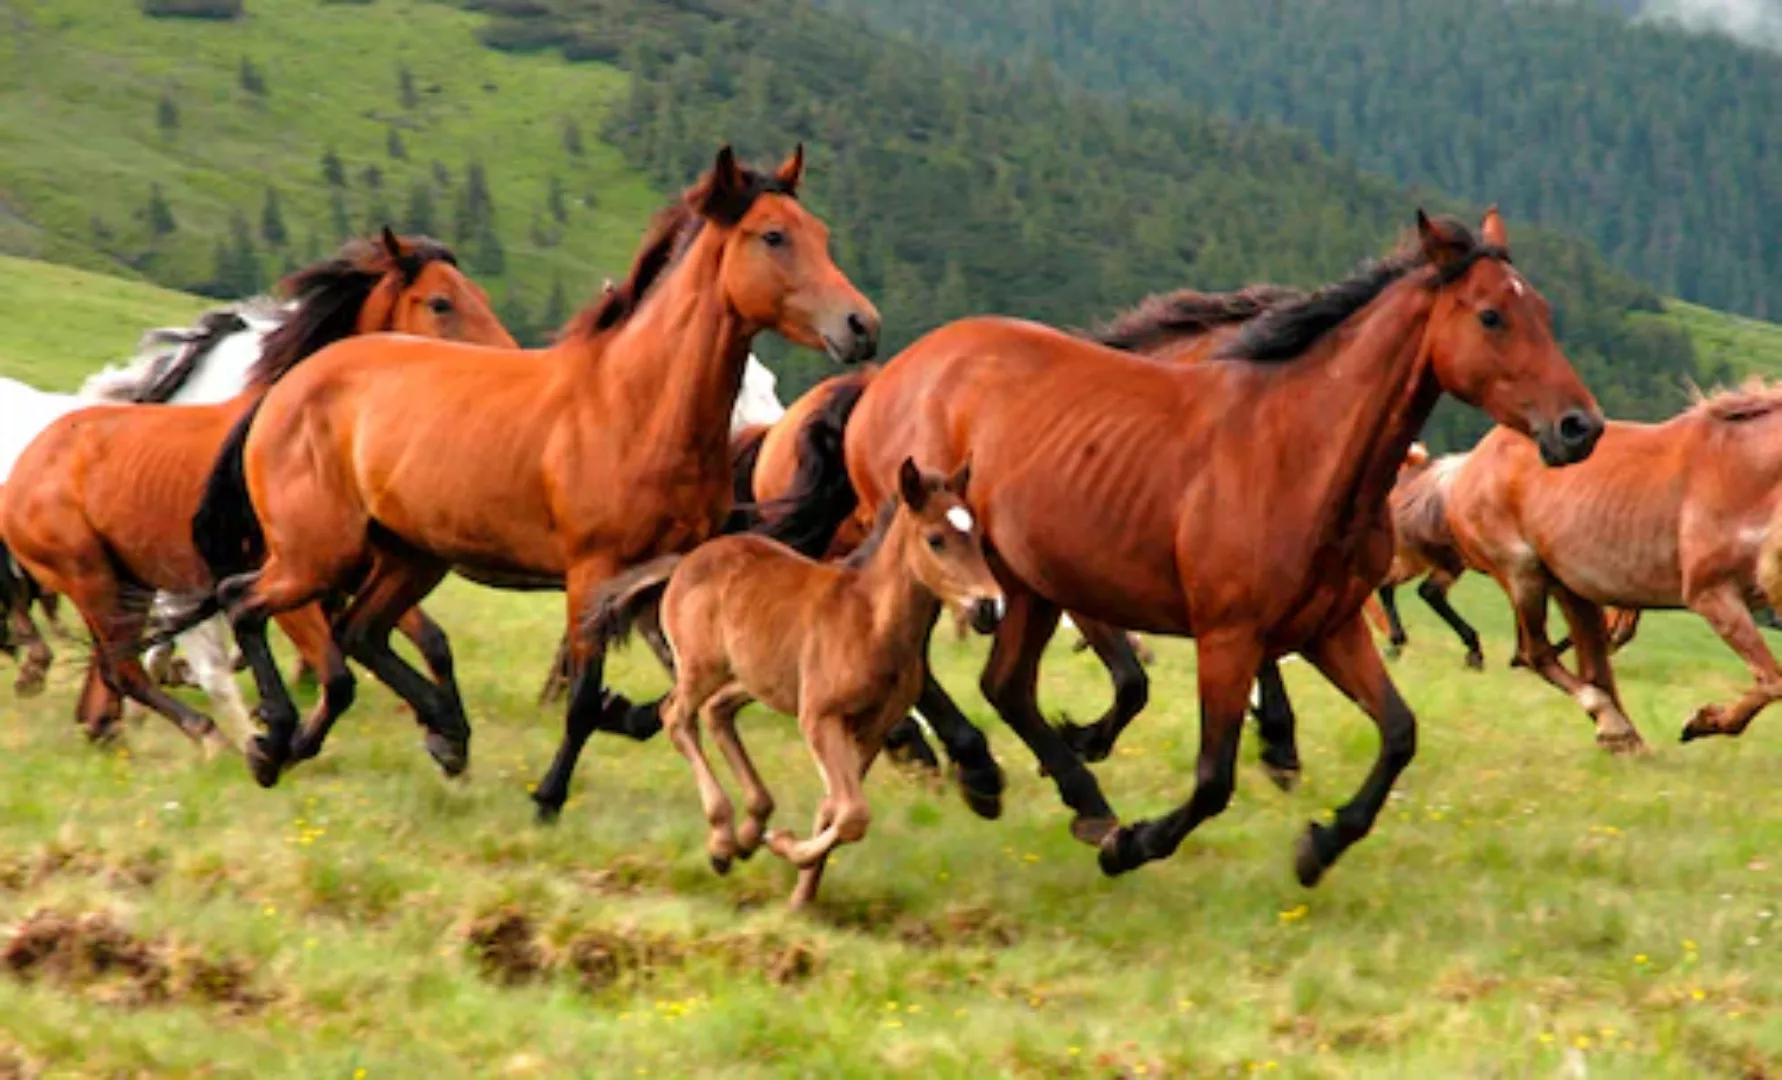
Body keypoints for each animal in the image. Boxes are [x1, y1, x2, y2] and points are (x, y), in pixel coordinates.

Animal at [1, 229, 516, 769]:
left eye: (482, 296)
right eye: (441, 302)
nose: (510, 363)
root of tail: (24, 465)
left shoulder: (349, 569)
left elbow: (427, 641)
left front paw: (445, 735)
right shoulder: (286, 577)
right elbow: (333, 669)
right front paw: (278, 738)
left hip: (128, 581)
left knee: (116, 665)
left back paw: (110, 724)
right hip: (90, 576)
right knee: (129, 667)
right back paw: (210, 735)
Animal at [184, 147, 873, 816]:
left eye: (822, 233)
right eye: (774, 235)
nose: (862, 325)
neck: (636, 405)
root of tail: (286, 389)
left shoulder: (661, 577)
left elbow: (677, 691)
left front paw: (622, 714)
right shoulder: (593, 574)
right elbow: (585, 699)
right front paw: (548, 796)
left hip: (410, 556)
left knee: (359, 632)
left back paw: (422, 735)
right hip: (318, 554)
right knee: (245, 601)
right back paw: (276, 740)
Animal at [591, 459, 997, 908]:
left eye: (977, 537)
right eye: (935, 539)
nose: (989, 607)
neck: (872, 621)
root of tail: (685, 561)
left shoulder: (872, 728)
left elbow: (836, 807)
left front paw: (801, 894)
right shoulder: (819, 717)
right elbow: (852, 813)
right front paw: (784, 846)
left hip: (756, 678)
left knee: (717, 710)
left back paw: (750, 829)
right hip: (701, 668)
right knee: (676, 716)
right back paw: (723, 841)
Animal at [773, 212, 1610, 887]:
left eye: (1543, 311)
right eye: (1493, 315)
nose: (1580, 428)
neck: (1299, 451)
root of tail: (889, 375)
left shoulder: (1331, 628)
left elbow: (1400, 733)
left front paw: (1319, 846)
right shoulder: (1229, 636)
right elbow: (1212, 777)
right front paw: (1135, 846)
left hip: (1026, 586)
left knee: (1005, 686)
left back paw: (1073, 796)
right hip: (947, 568)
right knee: (933, 669)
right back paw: (987, 774)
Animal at [1446, 388, 1782, 752]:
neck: (1746, 475)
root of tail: (1473, 460)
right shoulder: (1711, 593)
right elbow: (1773, 680)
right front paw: (1701, 722)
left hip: (1571, 589)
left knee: (1593, 665)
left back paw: (1625, 738)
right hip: (1522, 574)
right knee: (1537, 653)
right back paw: (1615, 729)